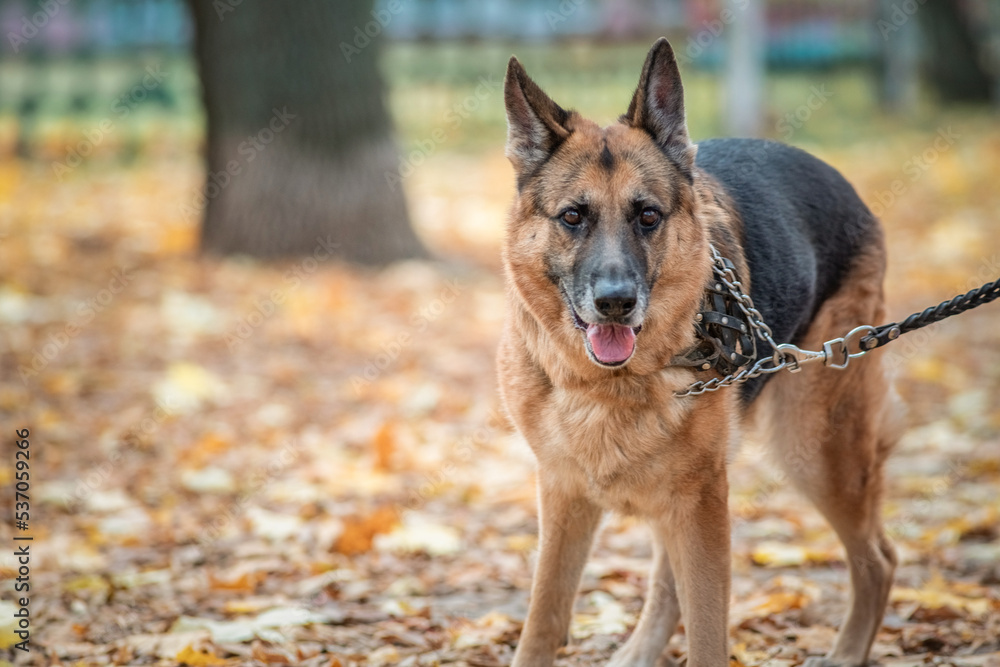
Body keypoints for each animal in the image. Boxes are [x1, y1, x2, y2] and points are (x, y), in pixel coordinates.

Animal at [498, 37, 900, 667]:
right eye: (572, 217)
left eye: (648, 216)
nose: (616, 303)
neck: (610, 385)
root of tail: (832, 173)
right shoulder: (565, 495)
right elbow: (543, 622)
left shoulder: (703, 501)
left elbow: (708, 632)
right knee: (668, 582)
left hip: (814, 447)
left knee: (879, 560)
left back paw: (845, 652)